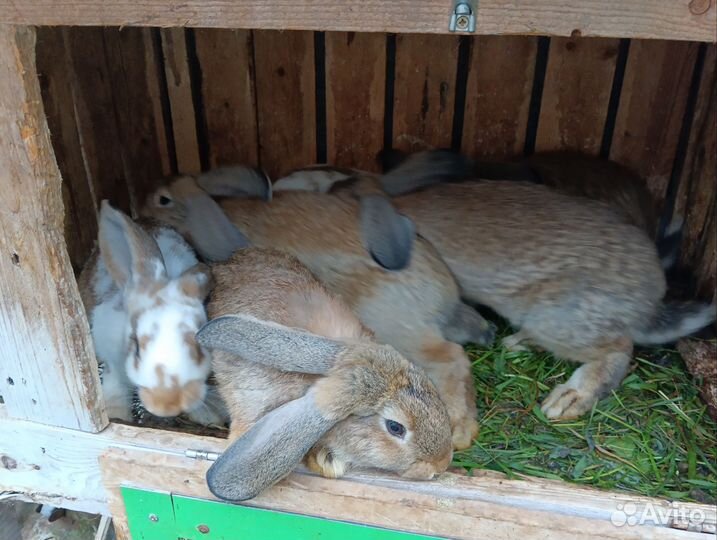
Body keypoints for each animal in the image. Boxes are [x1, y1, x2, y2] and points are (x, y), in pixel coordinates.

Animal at [78, 200, 223, 424]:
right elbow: (114, 383)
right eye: (136, 347)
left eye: (199, 346)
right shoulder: (110, 356)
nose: (166, 405)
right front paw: (116, 414)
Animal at [141, 170, 492, 449]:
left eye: (162, 199)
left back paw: (459, 433)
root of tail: (442, 287)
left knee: (451, 358)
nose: (141, 213)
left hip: (397, 328)